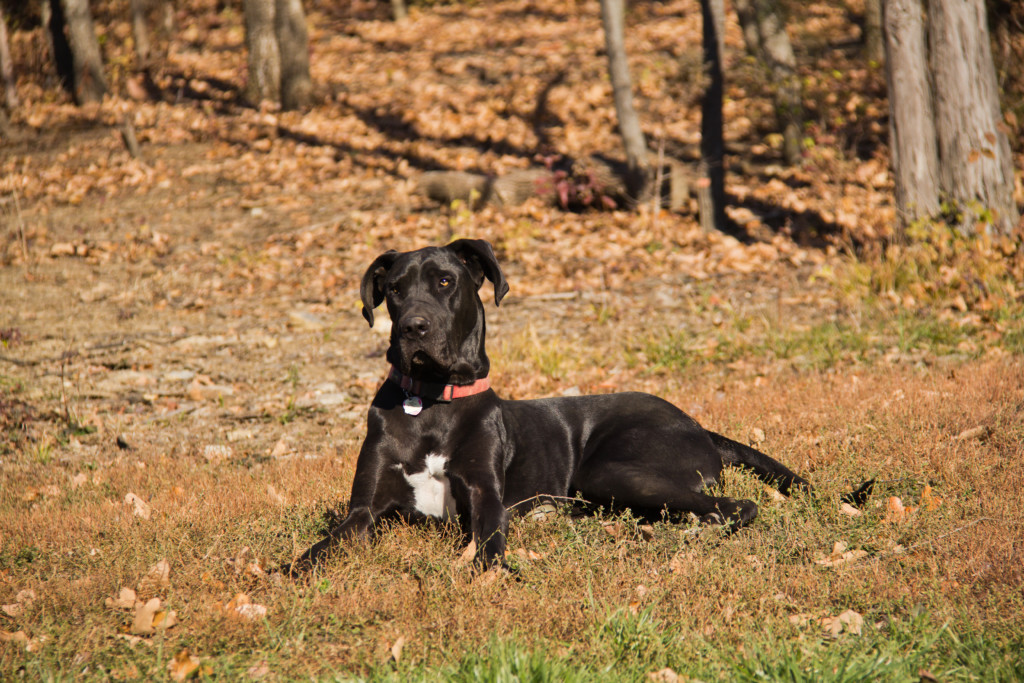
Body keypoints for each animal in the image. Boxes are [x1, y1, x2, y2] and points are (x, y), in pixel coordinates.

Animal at [284, 240, 851, 573]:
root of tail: (698, 424)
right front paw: (292, 573)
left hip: (613, 470)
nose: (412, 328)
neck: (430, 403)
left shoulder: (487, 498)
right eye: (396, 290)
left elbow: (488, 550)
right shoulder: (363, 511)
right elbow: (320, 549)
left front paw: (487, 574)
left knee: (738, 505)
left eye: (445, 281)